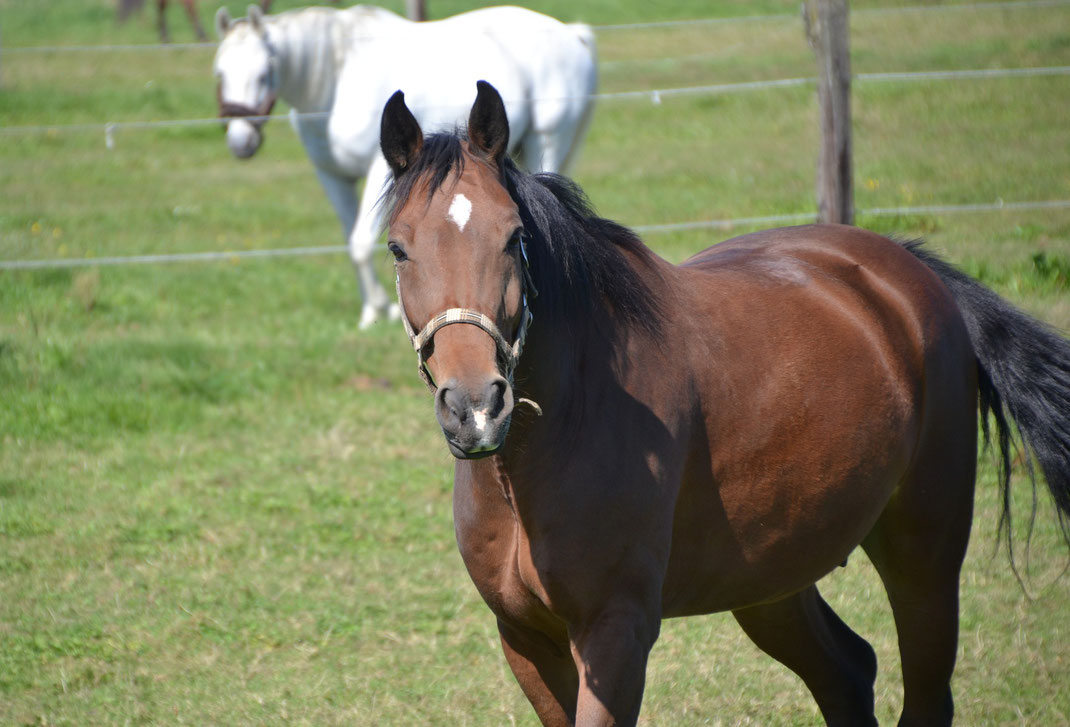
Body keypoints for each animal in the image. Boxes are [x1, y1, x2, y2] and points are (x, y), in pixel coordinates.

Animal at [212, 4, 599, 329]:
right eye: (220, 72)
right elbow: (351, 241)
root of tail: (572, 33)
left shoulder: (379, 169)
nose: (240, 143)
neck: (337, 80)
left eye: (264, 73)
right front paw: (374, 308)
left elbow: (360, 242)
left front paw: (379, 312)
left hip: (546, 140)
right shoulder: (332, 175)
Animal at [378, 82, 1070, 723]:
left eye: (513, 235)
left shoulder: (613, 634)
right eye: (398, 247)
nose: (476, 407)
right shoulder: (525, 639)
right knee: (849, 673)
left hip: (924, 556)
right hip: (775, 580)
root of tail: (910, 272)